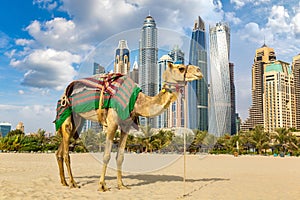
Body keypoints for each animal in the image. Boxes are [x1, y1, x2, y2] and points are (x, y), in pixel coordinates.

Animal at [55, 62, 203, 191]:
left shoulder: (126, 125)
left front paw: (121, 185)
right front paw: (102, 186)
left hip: (78, 121)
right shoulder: (112, 122)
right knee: (66, 152)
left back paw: (64, 182)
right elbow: (106, 155)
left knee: (59, 151)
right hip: (67, 115)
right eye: (181, 68)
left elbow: (120, 156)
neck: (137, 101)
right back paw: (73, 183)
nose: (199, 71)